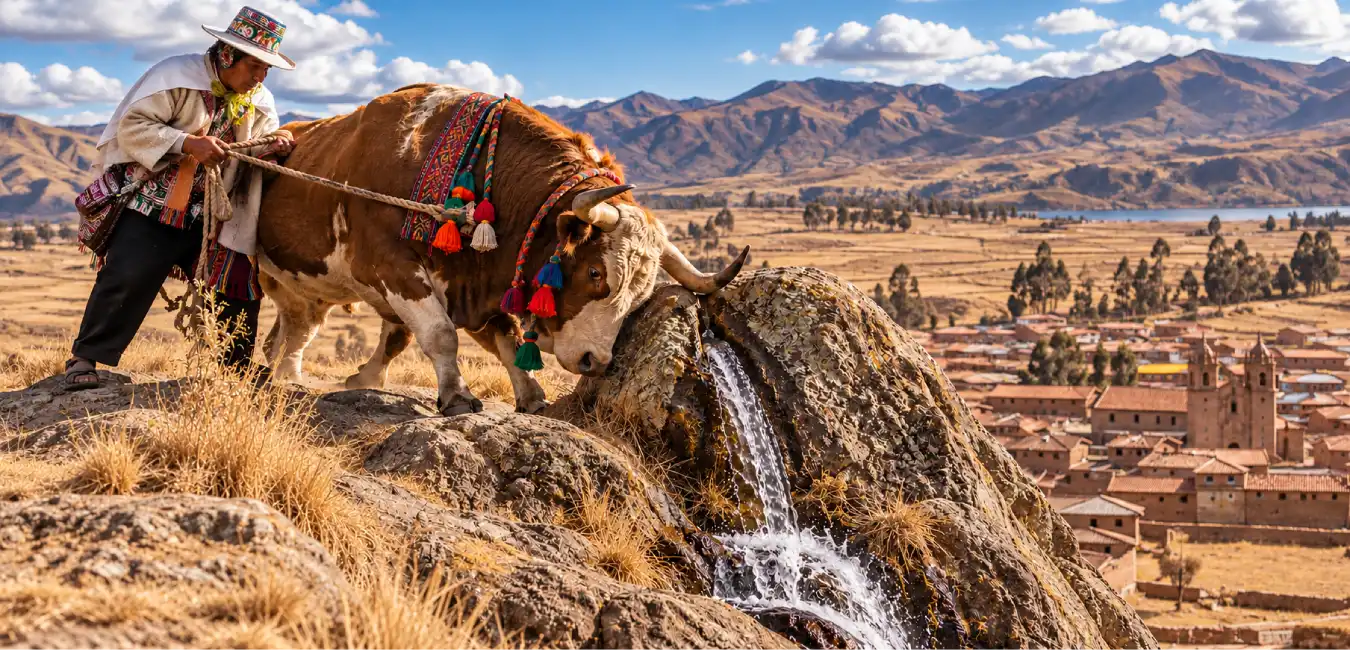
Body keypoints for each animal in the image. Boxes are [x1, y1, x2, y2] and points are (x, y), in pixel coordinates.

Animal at [255, 84, 747, 415]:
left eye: (641, 297)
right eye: (595, 273)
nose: (595, 362)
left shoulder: (475, 286)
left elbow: (504, 342)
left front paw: (530, 396)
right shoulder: (388, 266)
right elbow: (439, 333)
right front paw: (456, 396)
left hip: (302, 292)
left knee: (292, 332)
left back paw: (287, 376)